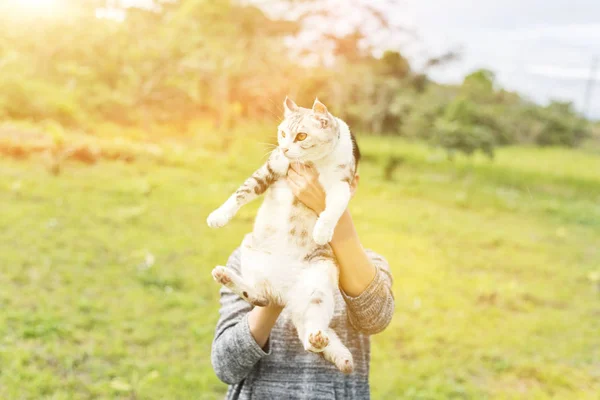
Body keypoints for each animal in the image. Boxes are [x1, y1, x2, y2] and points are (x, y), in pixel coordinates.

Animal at [207, 96, 356, 372]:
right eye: (283, 133)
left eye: (301, 135)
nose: (286, 149)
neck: (313, 163)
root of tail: (286, 297)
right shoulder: (271, 166)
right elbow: (241, 192)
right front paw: (218, 216)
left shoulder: (342, 183)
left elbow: (335, 207)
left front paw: (322, 230)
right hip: (251, 249)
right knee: (260, 298)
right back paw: (225, 276)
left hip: (321, 279)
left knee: (308, 332)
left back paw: (318, 338)